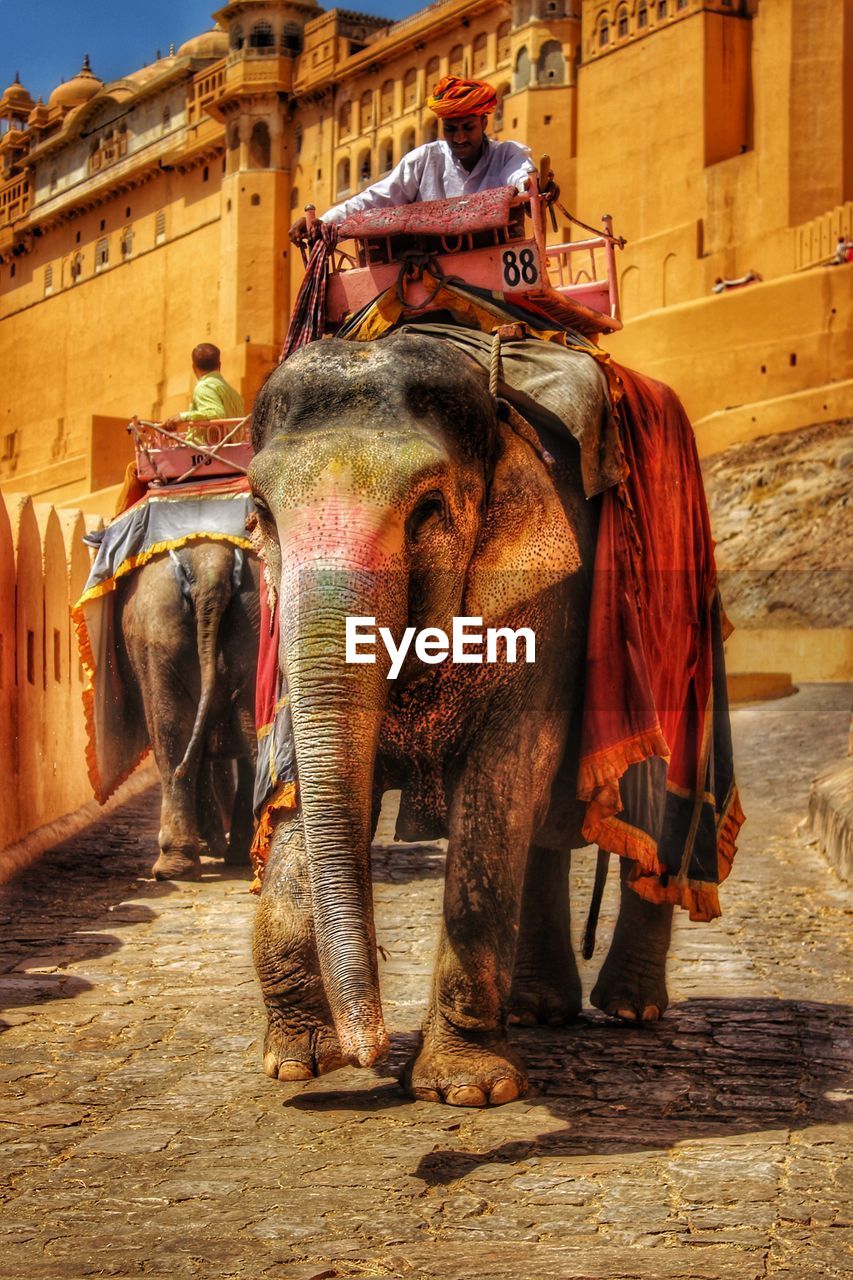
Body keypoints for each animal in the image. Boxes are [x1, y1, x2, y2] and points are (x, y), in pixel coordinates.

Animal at [244, 335, 671, 1105]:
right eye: (260, 510)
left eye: (428, 508)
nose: (368, 1054)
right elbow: (304, 785)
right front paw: (297, 1062)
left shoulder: (544, 606)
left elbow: (503, 777)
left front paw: (469, 1089)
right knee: (546, 831)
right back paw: (538, 1011)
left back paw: (631, 1010)